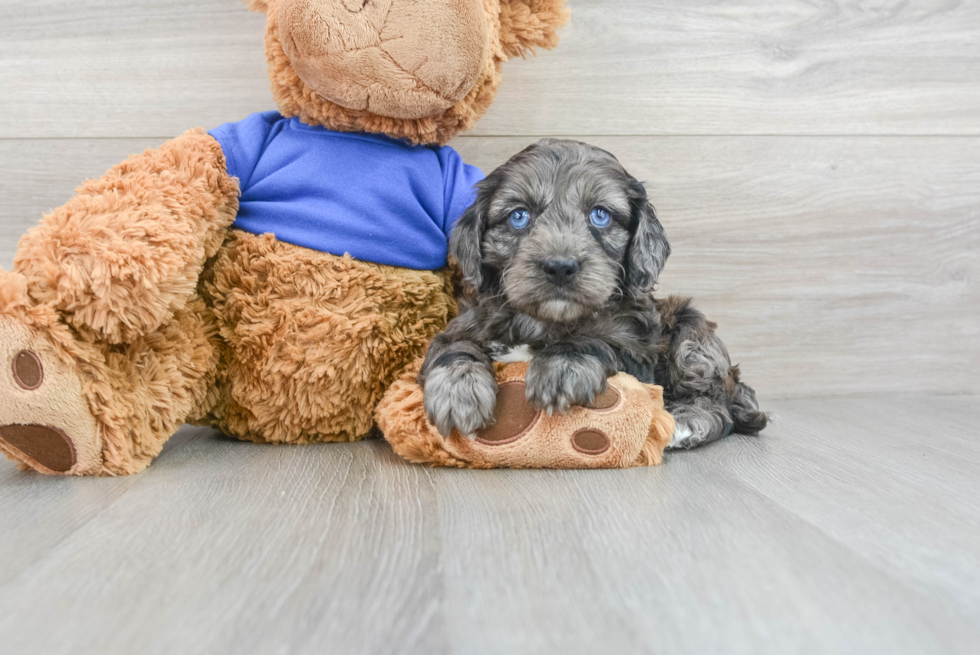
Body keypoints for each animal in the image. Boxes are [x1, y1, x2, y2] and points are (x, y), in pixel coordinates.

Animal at [416, 139, 764, 452]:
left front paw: (562, 365)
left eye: (600, 215)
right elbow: (454, 348)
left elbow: (595, 340)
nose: (560, 267)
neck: (545, 322)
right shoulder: (464, 324)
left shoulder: (637, 350)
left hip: (691, 335)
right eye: (518, 216)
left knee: (718, 403)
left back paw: (684, 422)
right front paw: (458, 392)